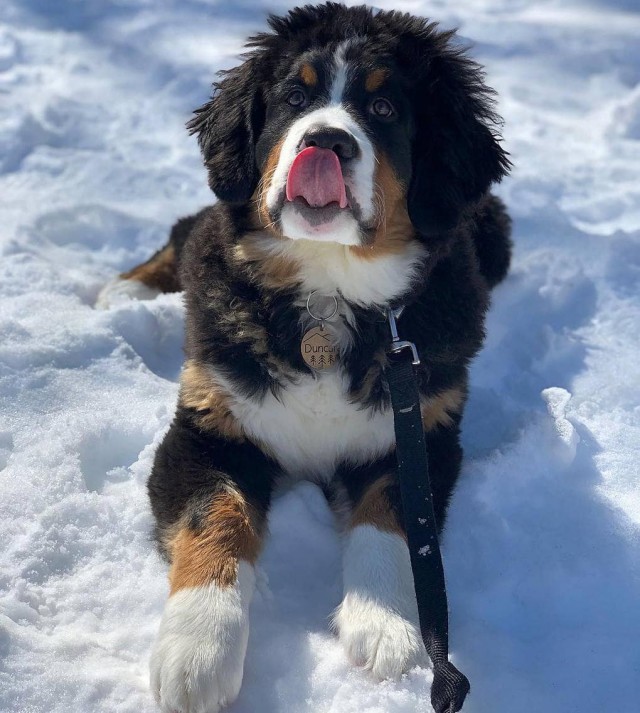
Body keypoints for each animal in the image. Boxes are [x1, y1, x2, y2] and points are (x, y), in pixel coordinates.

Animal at [97, 2, 512, 708]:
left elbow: (392, 521)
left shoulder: (420, 426)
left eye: (383, 108)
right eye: (296, 97)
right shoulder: (207, 422)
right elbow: (215, 519)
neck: (327, 289)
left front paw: (384, 624)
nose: (327, 142)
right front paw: (197, 650)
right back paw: (124, 292)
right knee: (184, 233)